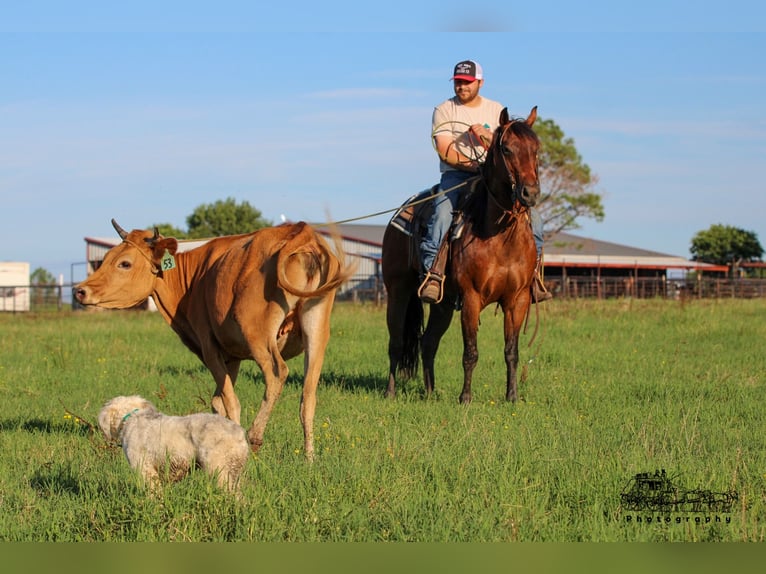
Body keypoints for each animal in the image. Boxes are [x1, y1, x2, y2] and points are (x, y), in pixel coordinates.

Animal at [76, 222, 352, 464]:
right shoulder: (232, 356)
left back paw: (254, 437)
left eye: (125, 263)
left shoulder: (210, 349)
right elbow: (219, 400)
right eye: (107, 256)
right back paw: (309, 457)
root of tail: (299, 232)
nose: (80, 290)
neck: (193, 280)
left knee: (276, 374)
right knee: (308, 396)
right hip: (316, 332)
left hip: (258, 335)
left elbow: (228, 401)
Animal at [382, 107, 540, 404]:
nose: (530, 193)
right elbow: (471, 352)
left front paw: (512, 397)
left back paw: (430, 393)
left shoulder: (518, 299)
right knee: (396, 343)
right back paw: (390, 392)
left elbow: (511, 351)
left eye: (536, 149)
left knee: (428, 342)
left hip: (442, 304)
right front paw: (465, 398)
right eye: (506, 149)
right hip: (398, 291)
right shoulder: (471, 298)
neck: (501, 236)